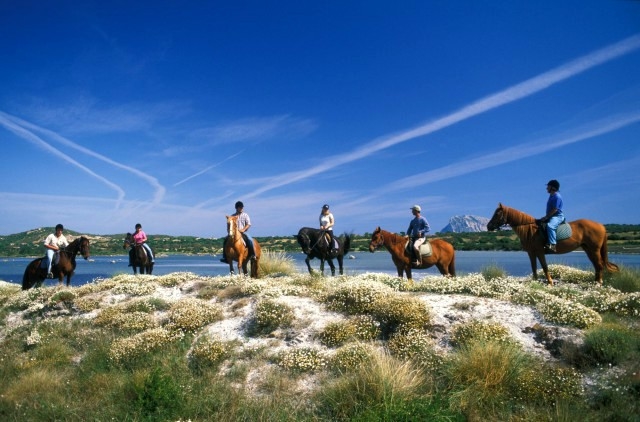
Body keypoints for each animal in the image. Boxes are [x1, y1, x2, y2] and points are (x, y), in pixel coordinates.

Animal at [488, 203, 616, 286]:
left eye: (497, 214)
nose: (488, 226)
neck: (529, 229)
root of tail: (601, 225)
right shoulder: (531, 253)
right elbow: (534, 267)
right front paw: (534, 282)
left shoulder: (540, 251)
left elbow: (544, 267)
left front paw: (550, 283)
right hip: (588, 249)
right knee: (596, 265)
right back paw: (595, 282)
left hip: (594, 249)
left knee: (599, 264)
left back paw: (598, 283)